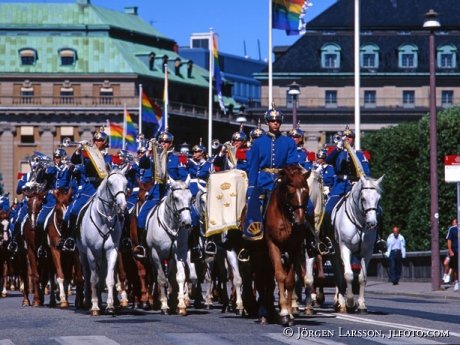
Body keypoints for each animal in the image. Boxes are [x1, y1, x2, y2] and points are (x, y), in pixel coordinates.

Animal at [77, 167, 127, 314]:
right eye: (110, 184)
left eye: (126, 183)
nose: (122, 205)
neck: (104, 221)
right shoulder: (90, 252)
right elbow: (93, 279)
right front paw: (94, 307)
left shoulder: (112, 251)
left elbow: (108, 279)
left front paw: (110, 306)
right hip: (83, 254)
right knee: (87, 274)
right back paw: (88, 301)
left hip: (102, 257)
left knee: (101, 275)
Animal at [146, 176, 192, 314]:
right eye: (176, 198)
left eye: (191, 198)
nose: (187, 223)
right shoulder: (156, 254)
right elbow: (161, 278)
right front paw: (164, 305)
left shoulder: (180, 253)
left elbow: (180, 277)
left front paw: (181, 305)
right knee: (156, 276)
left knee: (171, 277)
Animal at [264, 164, 314, 326]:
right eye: (290, 193)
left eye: (306, 192)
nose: (300, 223)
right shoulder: (273, 245)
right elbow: (279, 276)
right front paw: (284, 312)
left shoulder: (294, 249)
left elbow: (290, 280)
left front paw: (289, 313)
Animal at [330, 175, 384, 312]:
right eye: (363, 198)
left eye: (378, 199)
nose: (372, 223)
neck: (359, 222)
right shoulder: (345, 248)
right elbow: (349, 275)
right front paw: (350, 302)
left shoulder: (367, 252)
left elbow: (362, 278)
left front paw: (361, 304)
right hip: (334, 252)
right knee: (339, 273)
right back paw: (341, 302)